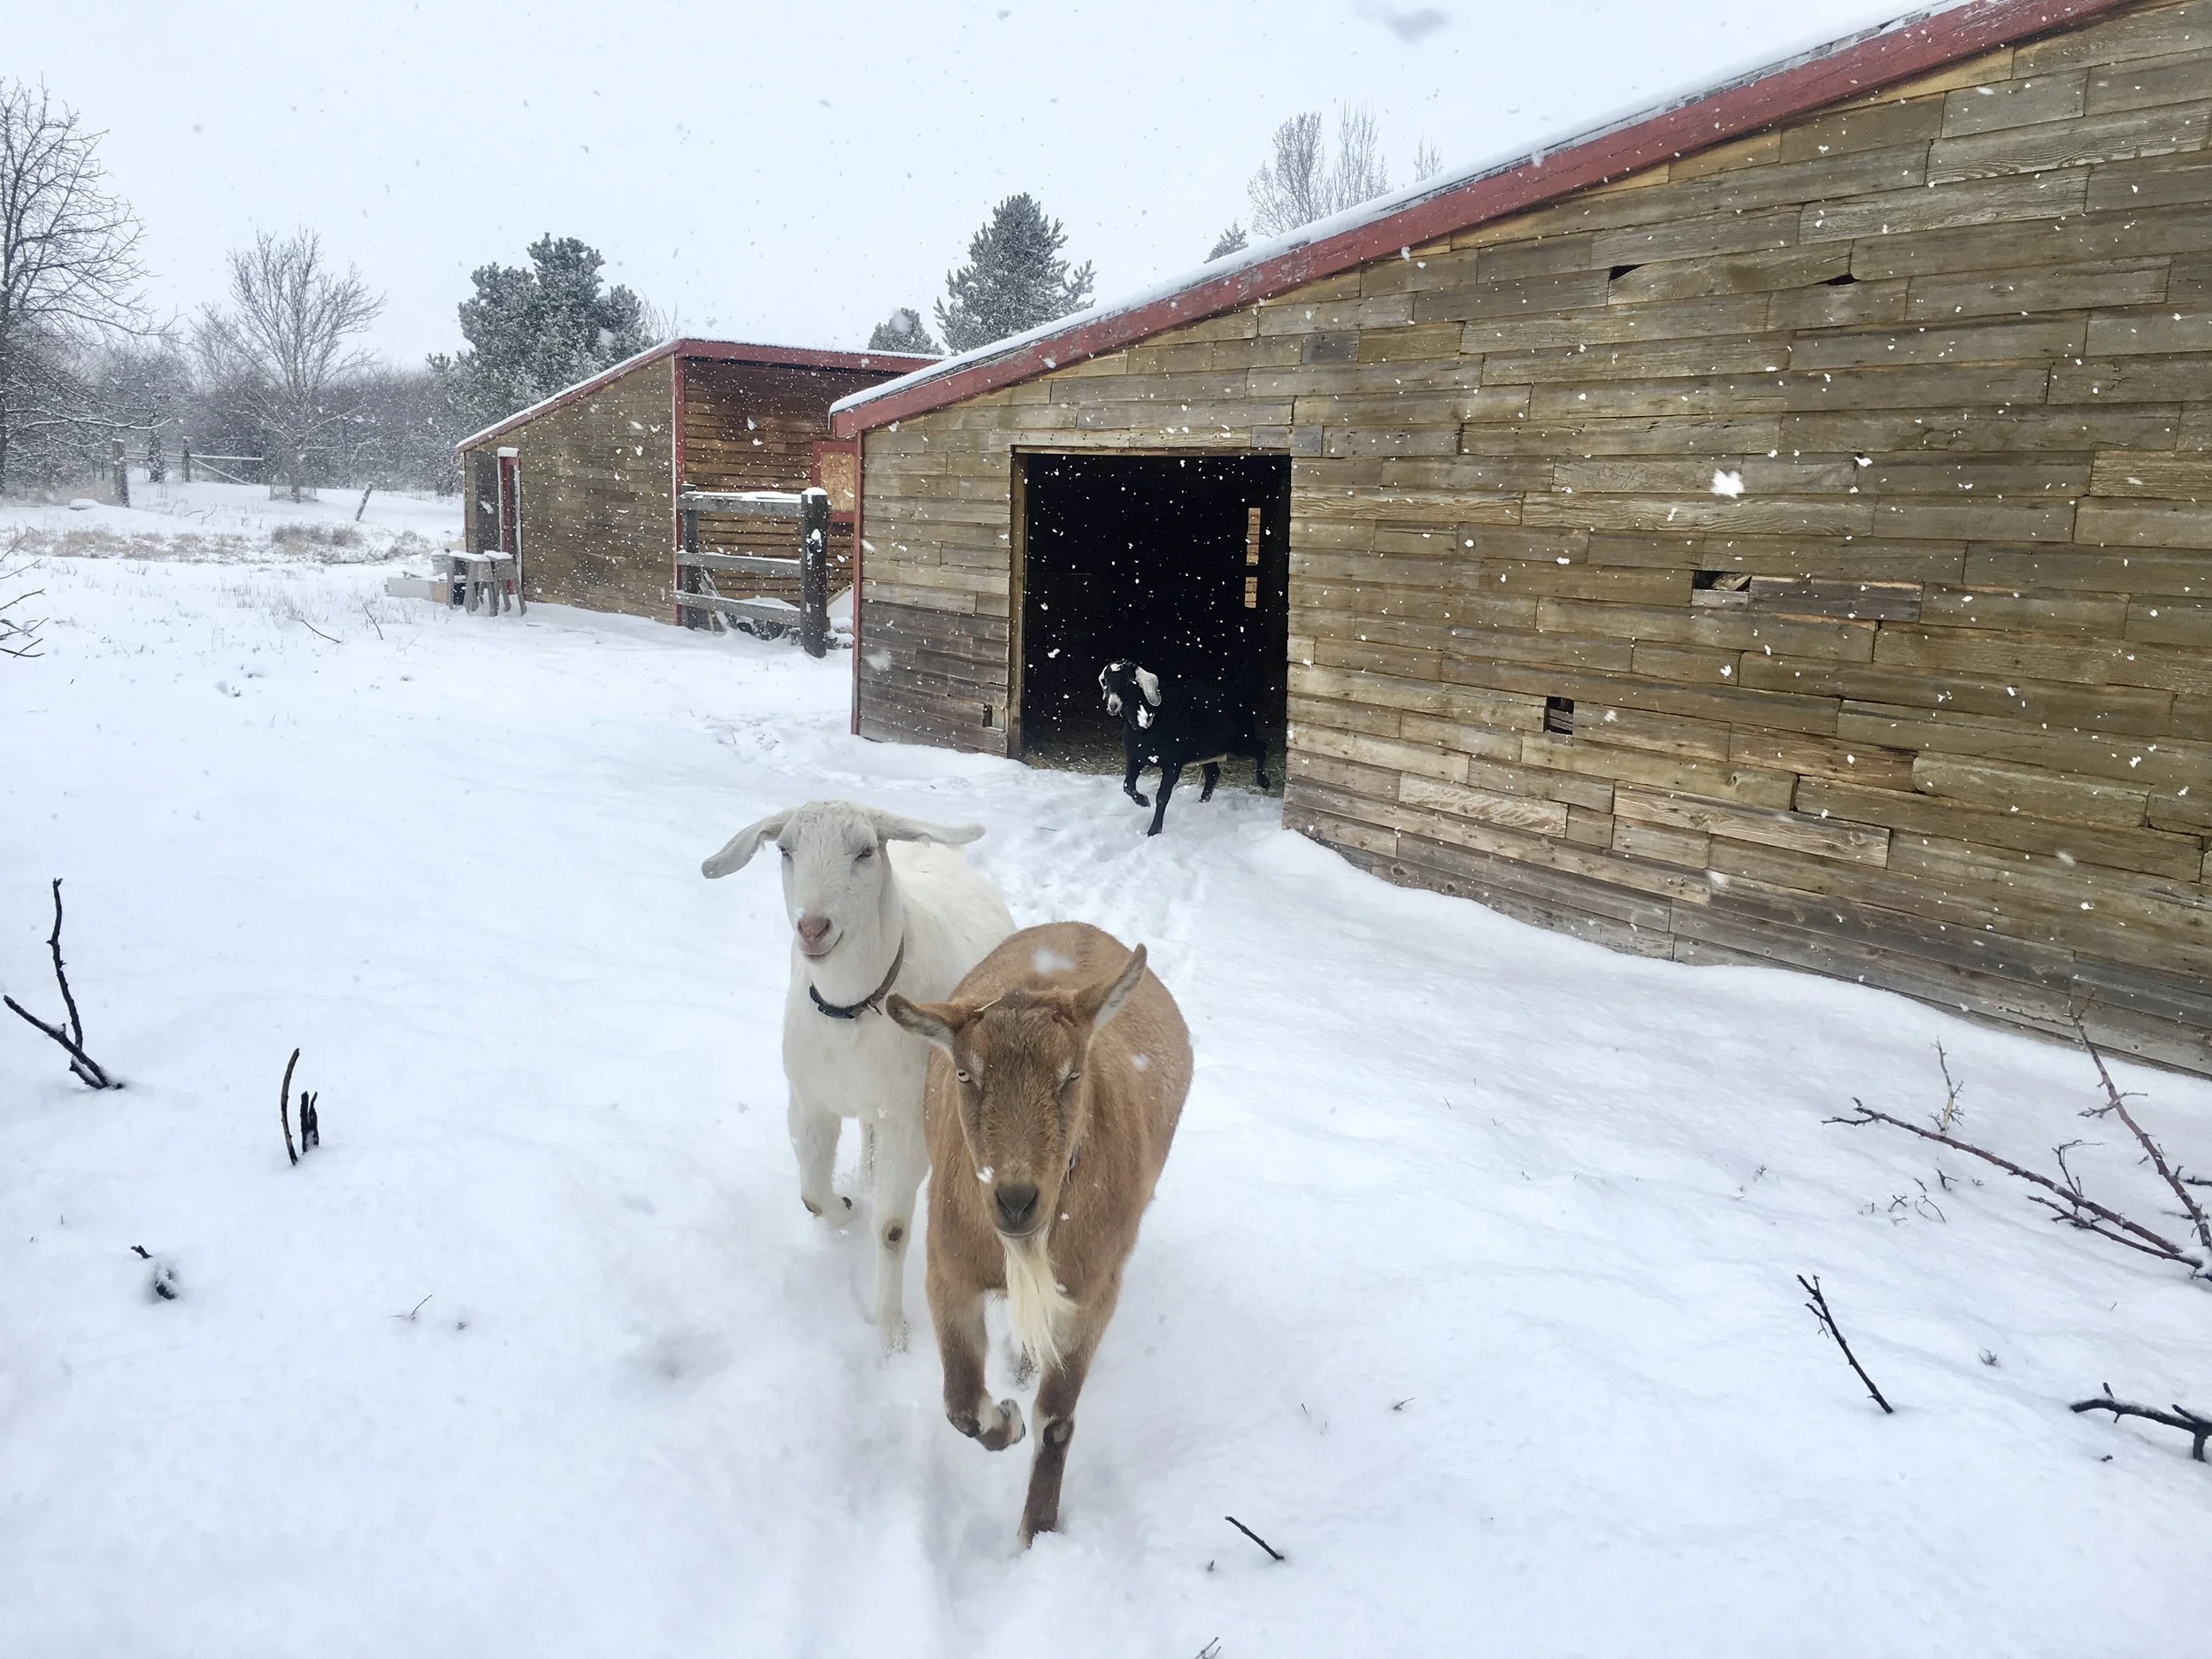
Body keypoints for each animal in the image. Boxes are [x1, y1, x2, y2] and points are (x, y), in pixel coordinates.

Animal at [700, 800, 1016, 1349]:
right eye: (785, 850)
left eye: (866, 851)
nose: (813, 928)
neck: (853, 1008)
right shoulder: (808, 1102)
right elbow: (811, 1194)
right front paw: (847, 1207)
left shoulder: (908, 1121)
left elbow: (891, 1229)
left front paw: (892, 1334)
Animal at [886, 921, 1190, 1545]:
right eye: (965, 1073)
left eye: (1071, 1074)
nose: (1016, 1200)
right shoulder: (947, 1268)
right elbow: (960, 1404)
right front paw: (1005, 1418)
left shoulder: (1094, 1290)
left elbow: (1057, 1420)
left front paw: (1038, 1533)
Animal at [1099, 660, 1270, 836]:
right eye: (1106, 681)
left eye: (1128, 680)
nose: (1113, 706)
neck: (1146, 724)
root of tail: (1238, 685)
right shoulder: (1135, 759)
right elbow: (1127, 785)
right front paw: (1143, 801)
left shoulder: (1172, 764)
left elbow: (1162, 796)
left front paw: (1153, 831)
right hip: (1206, 750)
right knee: (1213, 774)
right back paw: (1202, 803)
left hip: (1240, 739)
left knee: (1261, 747)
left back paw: (1264, 781)